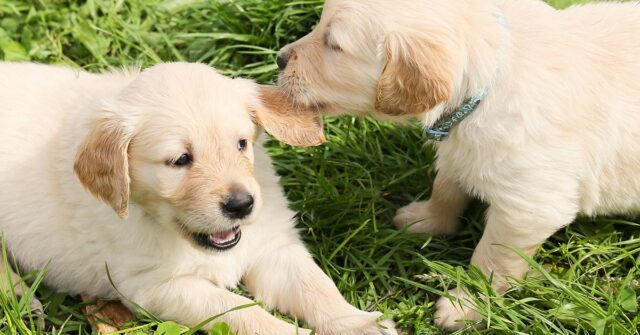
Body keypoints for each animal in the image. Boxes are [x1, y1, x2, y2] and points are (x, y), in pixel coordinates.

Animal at [0, 61, 398, 335]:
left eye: (241, 144)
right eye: (180, 160)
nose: (241, 205)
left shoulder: (273, 246)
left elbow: (316, 287)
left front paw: (359, 324)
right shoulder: (156, 286)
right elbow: (242, 311)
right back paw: (20, 298)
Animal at [274, 0, 640, 330]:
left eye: (334, 44)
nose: (278, 58)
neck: (487, 83)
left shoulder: (528, 208)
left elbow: (491, 262)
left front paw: (468, 306)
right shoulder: (457, 148)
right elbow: (446, 186)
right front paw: (428, 219)